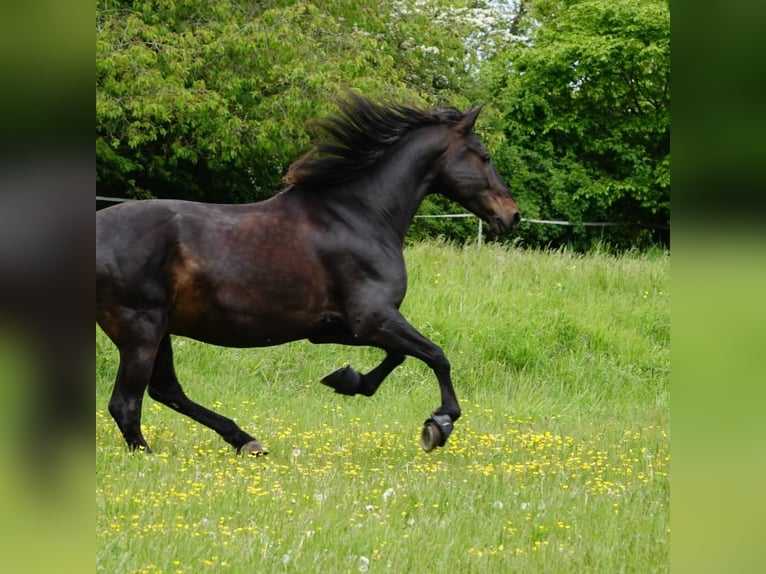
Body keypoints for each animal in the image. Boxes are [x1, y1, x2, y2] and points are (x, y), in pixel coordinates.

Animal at [96, 94, 520, 455]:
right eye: (484, 156)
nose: (511, 215)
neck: (359, 216)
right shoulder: (373, 318)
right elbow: (437, 356)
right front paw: (439, 424)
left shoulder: (336, 327)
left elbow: (399, 356)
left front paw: (348, 380)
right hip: (141, 328)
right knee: (126, 403)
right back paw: (151, 455)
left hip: (161, 329)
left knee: (166, 390)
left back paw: (246, 441)